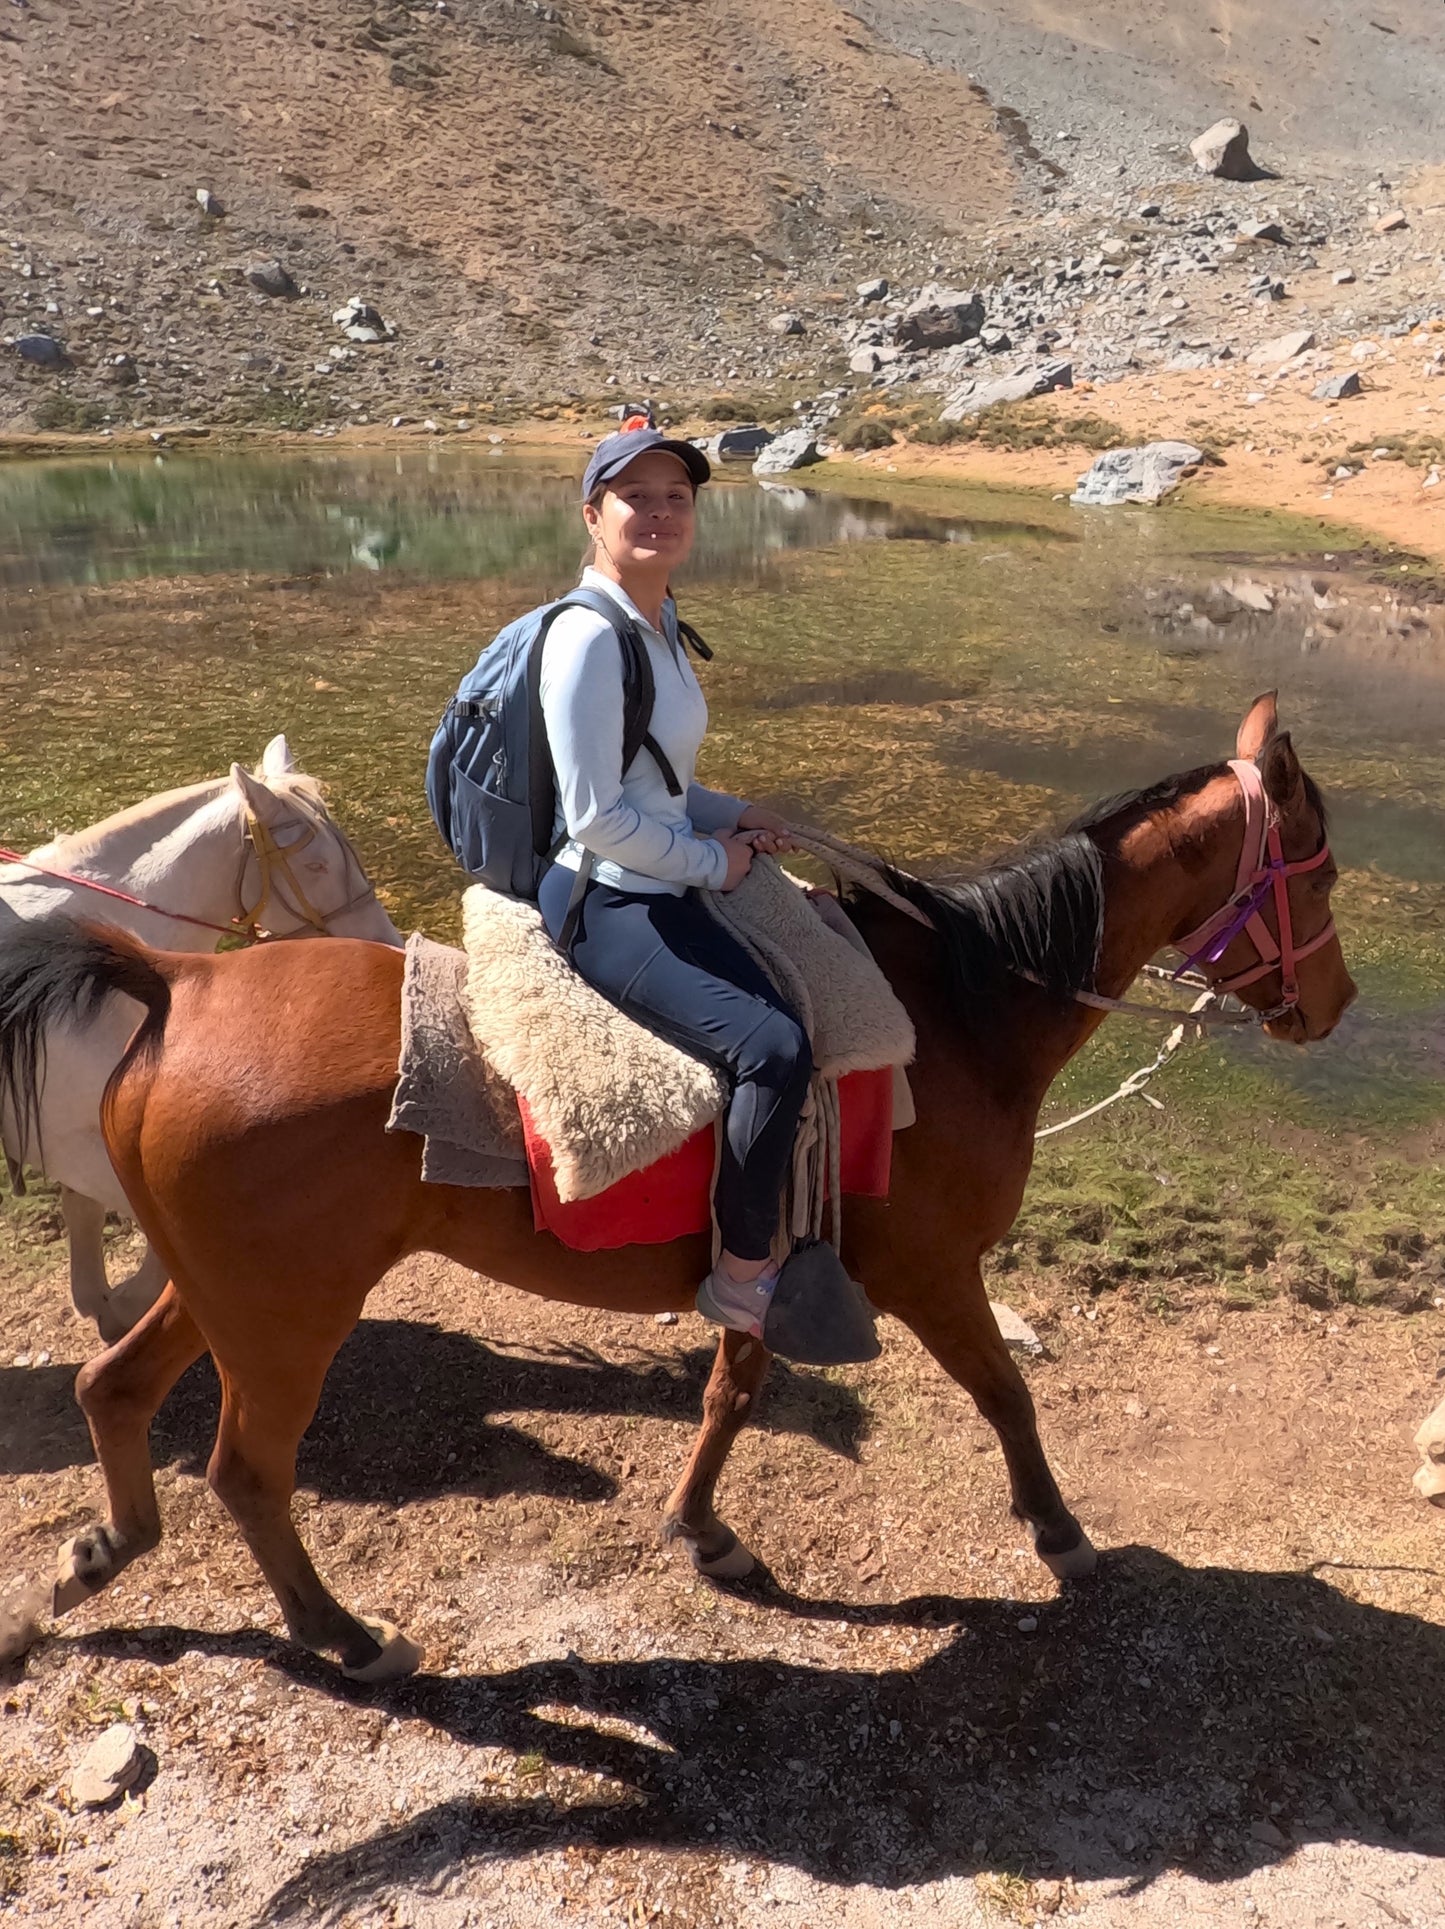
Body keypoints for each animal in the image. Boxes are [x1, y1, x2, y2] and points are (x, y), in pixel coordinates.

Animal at [1, 736, 399, 1342]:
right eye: (315, 864)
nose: (386, 944)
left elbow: (90, 1213)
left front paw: (103, 1304)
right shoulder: (64, 1137)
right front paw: (125, 1308)